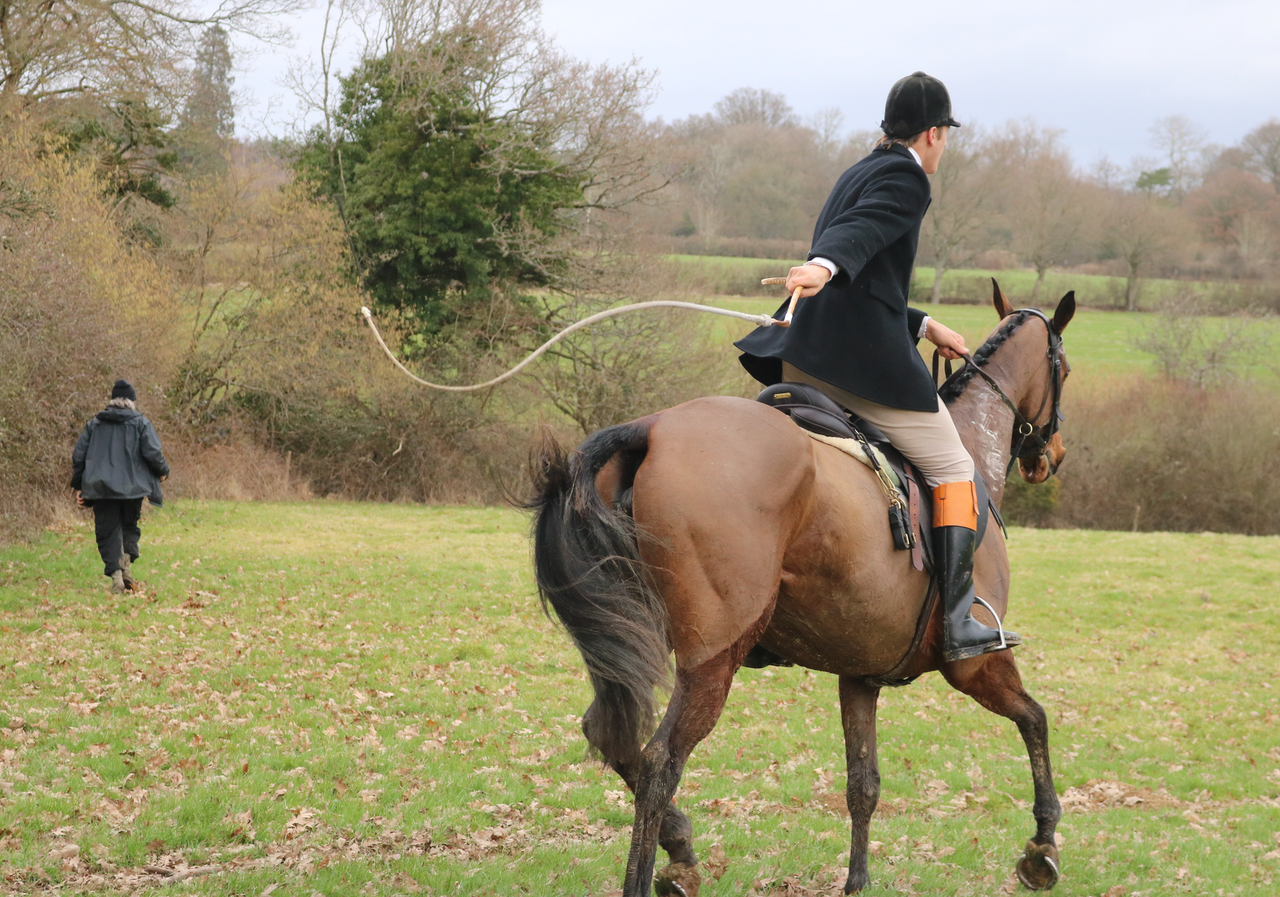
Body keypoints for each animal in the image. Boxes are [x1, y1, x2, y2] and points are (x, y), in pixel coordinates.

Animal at [524, 282, 1075, 890]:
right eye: (1066, 370)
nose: (1052, 457)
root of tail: (653, 428)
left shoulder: (861, 674)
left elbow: (863, 785)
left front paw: (857, 882)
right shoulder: (978, 664)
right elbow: (1036, 720)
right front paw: (1042, 845)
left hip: (623, 642)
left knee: (611, 736)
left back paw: (681, 848)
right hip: (712, 659)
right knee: (658, 765)